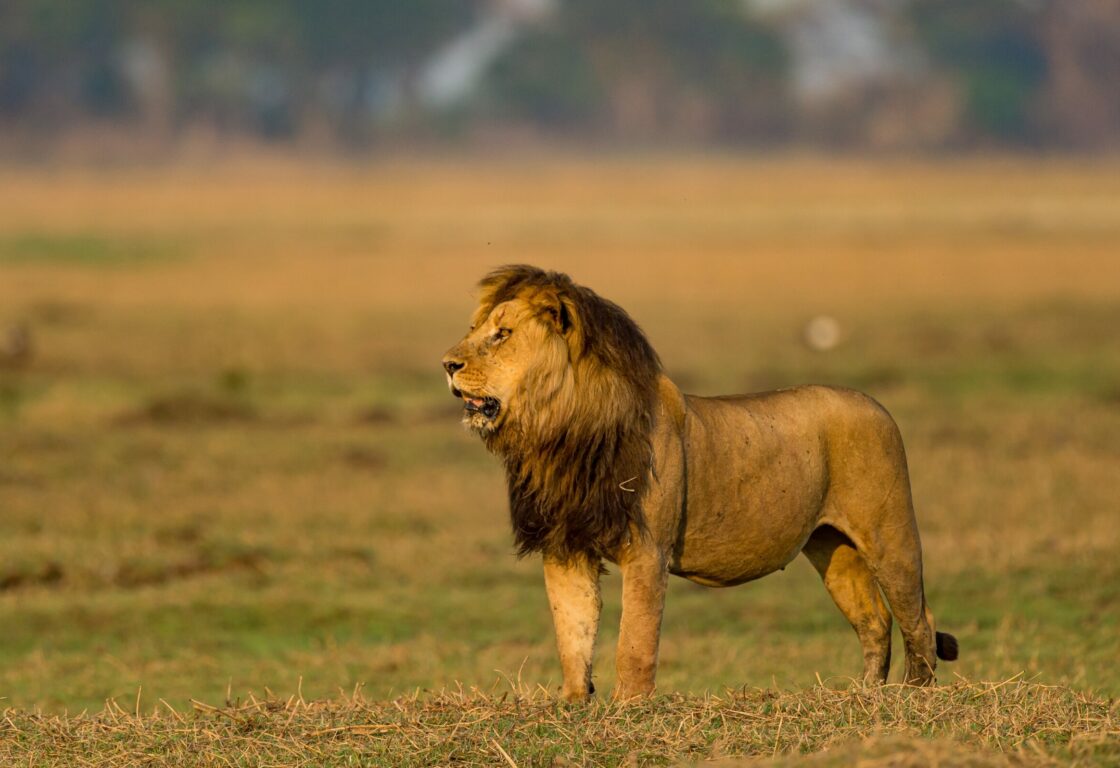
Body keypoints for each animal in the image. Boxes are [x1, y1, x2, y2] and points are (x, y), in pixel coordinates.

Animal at [442, 265, 958, 701]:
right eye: (476, 331)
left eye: (502, 334)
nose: (447, 364)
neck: (560, 433)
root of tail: (874, 403)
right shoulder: (566, 546)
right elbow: (573, 633)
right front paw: (572, 705)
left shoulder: (647, 550)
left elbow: (635, 640)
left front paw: (628, 708)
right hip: (832, 549)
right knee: (874, 622)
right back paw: (865, 696)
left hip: (890, 534)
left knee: (918, 617)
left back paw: (914, 696)